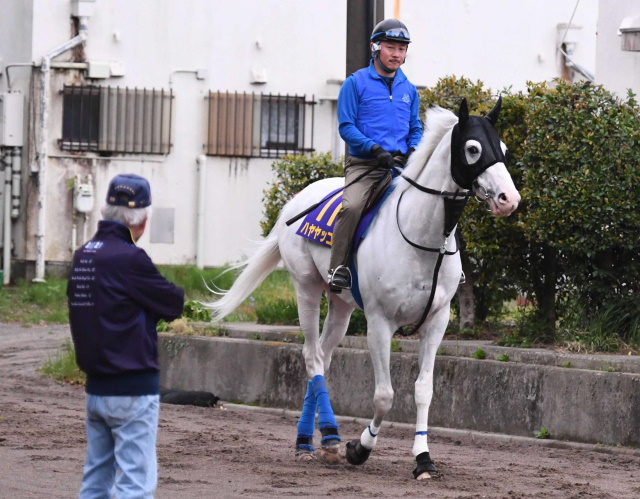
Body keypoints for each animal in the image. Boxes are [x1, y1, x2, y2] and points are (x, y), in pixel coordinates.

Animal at [208, 98, 524, 480]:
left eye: (503, 149)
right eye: (473, 148)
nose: (509, 199)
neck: (421, 238)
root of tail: (294, 202)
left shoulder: (437, 321)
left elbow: (424, 390)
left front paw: (423, 459)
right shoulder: (379, 323)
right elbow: (384, 396)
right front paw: (360, 448)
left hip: (342, 306)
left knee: (323, 358)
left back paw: (312, 441)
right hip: (306, 288)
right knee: (311, 356)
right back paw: (324, 438)